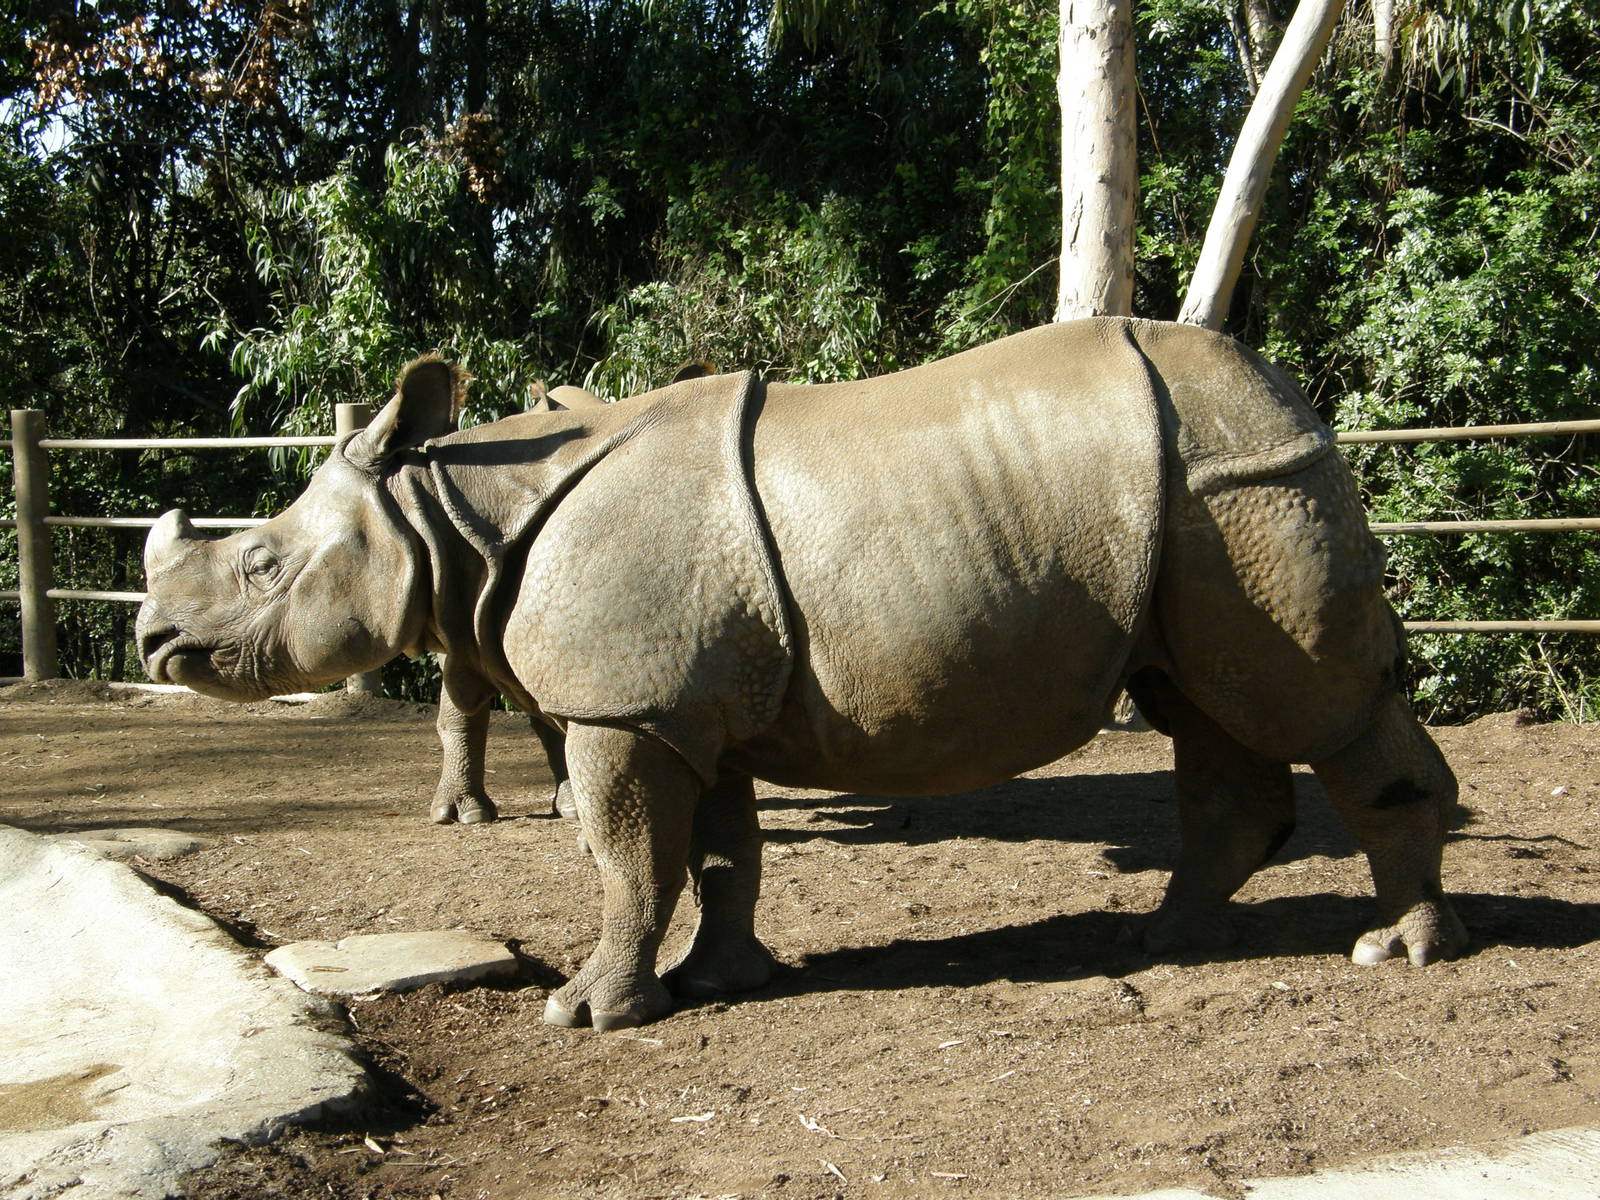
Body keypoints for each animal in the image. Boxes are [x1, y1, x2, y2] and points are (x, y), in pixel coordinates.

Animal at [136, 317, 1467, 1031]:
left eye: (261, 565)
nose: (154, 644)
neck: (451, 510)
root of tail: (1287, 391)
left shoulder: (625, 708)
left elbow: (627, 860)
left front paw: (588, 1012)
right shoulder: (681, 704)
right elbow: (717, 856)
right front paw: (719, 982)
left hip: (1240, 480)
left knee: (1313, 709)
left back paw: (1395, 954)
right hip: (1199, 499)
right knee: (1204, 710)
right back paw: (1164, 943)